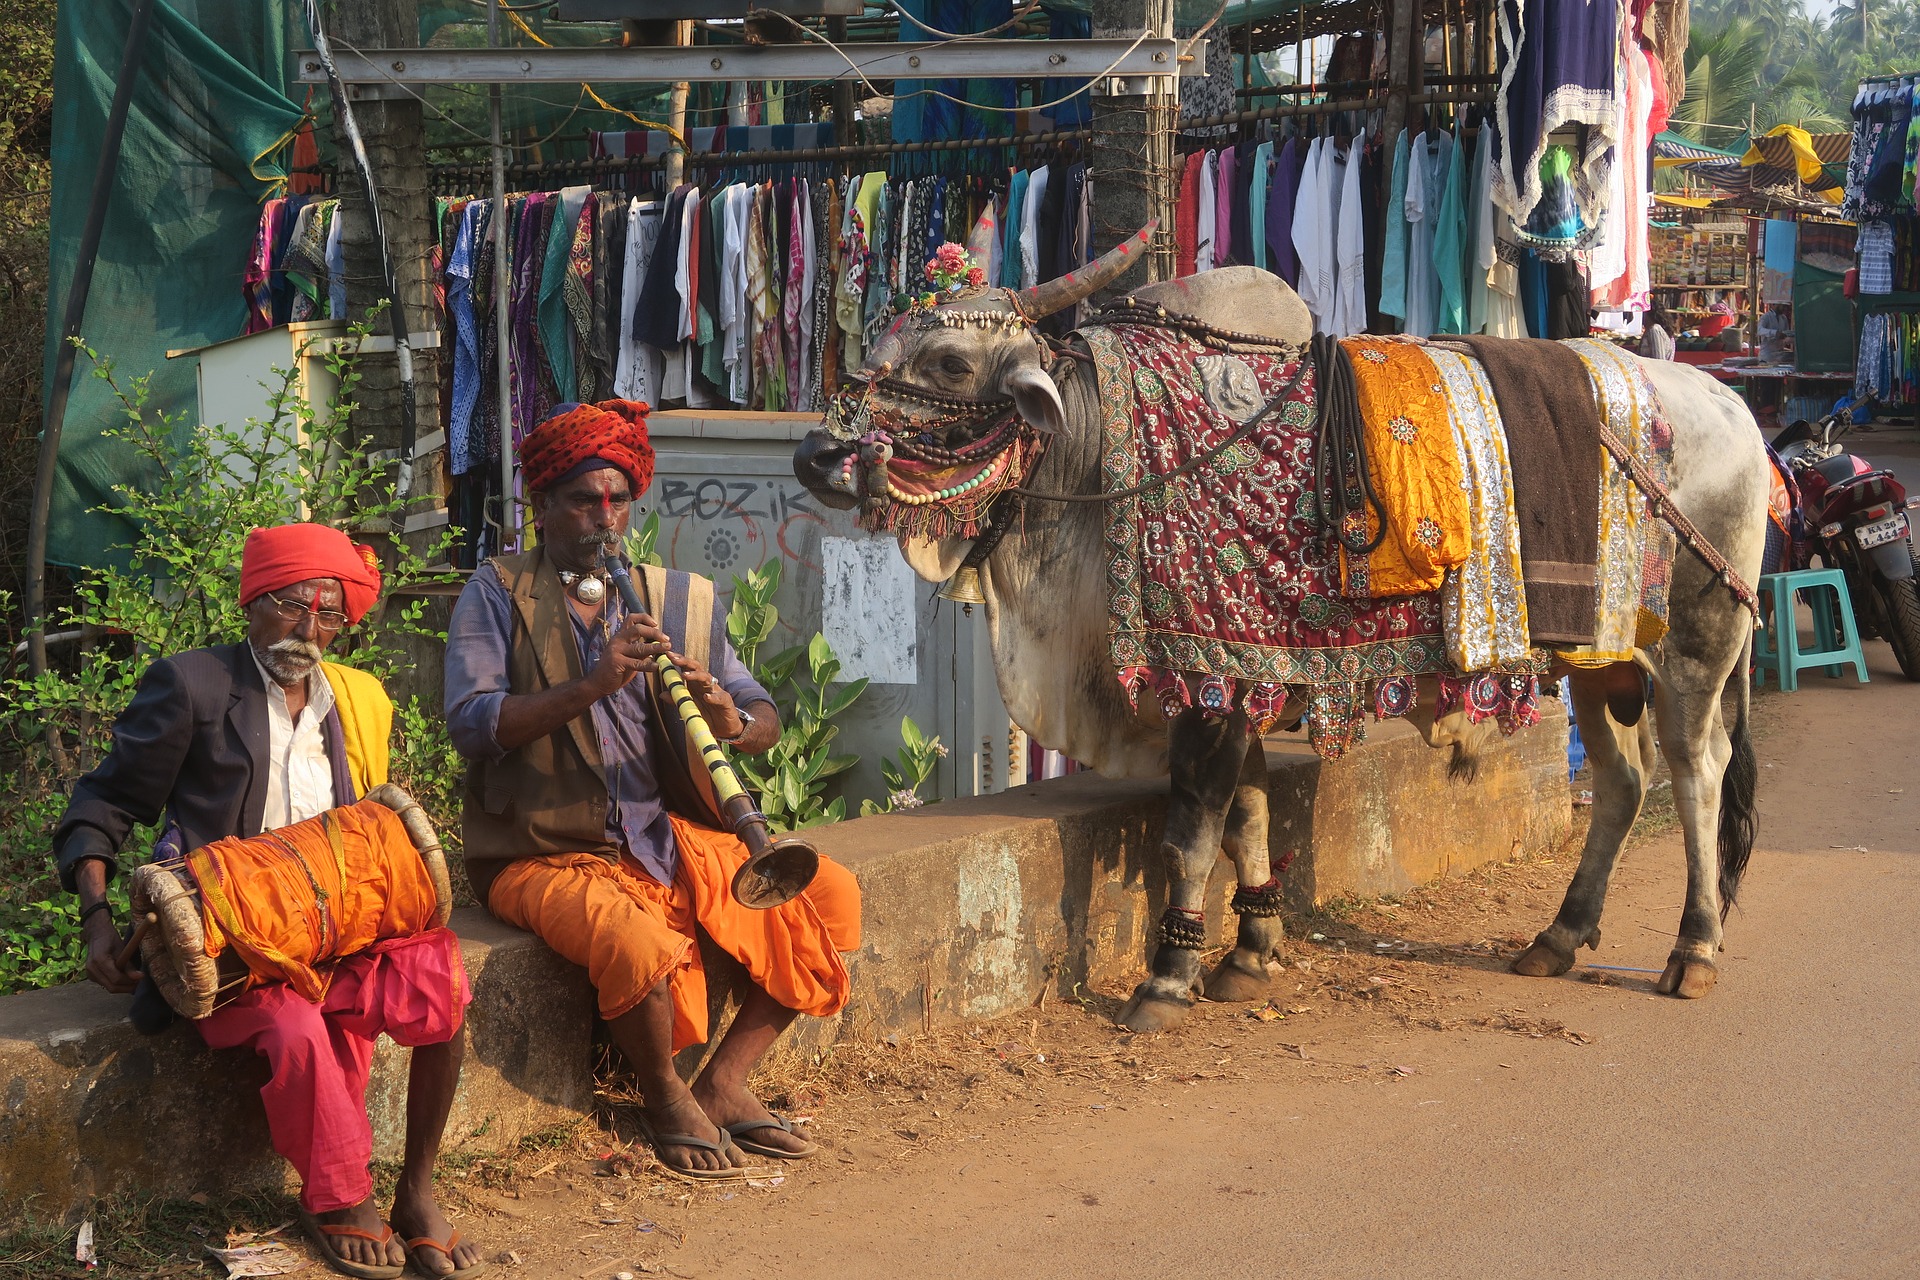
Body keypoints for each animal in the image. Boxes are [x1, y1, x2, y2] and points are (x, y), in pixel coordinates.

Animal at [794, 222, 1766, 1028]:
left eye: (952, 364)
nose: (816, 455)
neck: (1105, 450)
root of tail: (1731, 406)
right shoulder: (1249, 679)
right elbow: (1249, 819)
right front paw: (1250, 954)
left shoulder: (1213, 685)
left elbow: (1193, 831)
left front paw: (1167, 979)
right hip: (1605, 659)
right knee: (1624, 780)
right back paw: (1560, 936)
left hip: (1698, 643)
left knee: (1697, 772)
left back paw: (1694, 949)